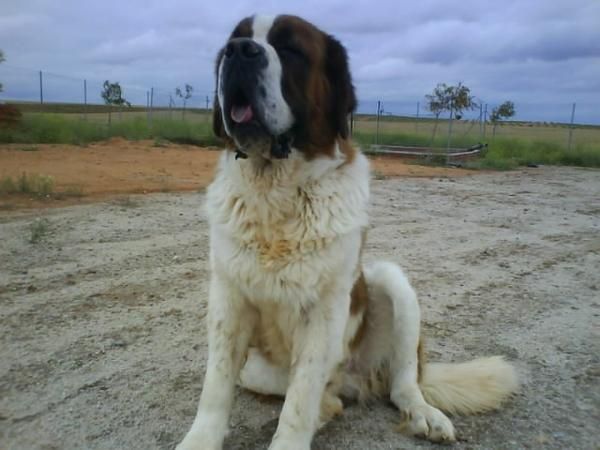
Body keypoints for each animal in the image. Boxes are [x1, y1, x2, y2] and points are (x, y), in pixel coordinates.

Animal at [176, 14, 516, 450]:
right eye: (234, 41)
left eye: (290, 49)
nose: (238, 51)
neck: (276, 191)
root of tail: (359, 380)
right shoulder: (228, 299)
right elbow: (216, 384)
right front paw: (200, 439)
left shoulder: (325, 312)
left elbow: (300, 398)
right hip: (258, 370)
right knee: (327, 397)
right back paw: (331, 406)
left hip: (390, 283)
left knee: (402, 383)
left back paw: (423, 414)